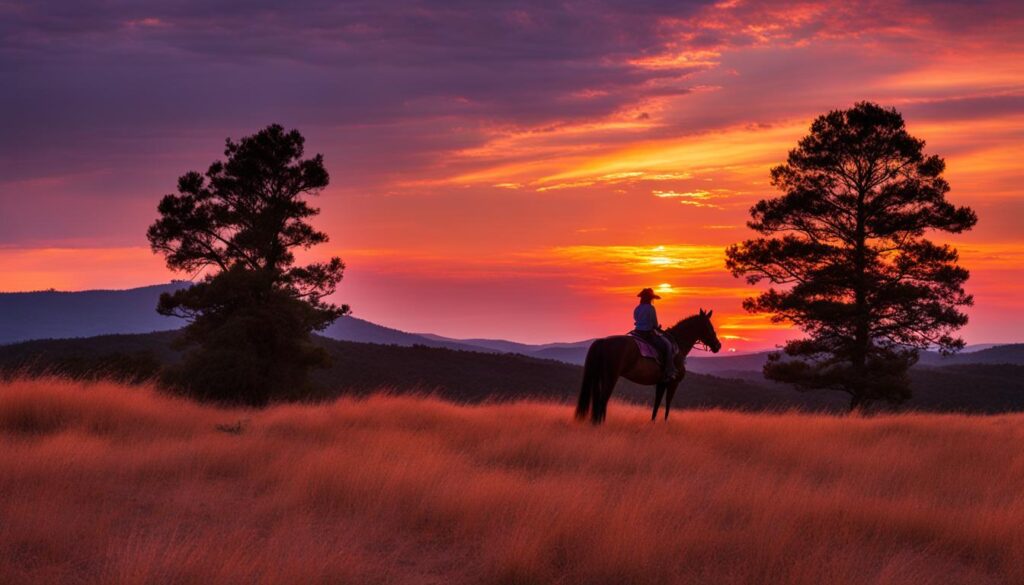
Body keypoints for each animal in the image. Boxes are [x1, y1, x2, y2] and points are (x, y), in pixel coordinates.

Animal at [573, 311, 724, 426]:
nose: (718, 345)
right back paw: (600, 423)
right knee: (603, 399)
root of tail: (603, 341)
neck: (678, 345)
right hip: (611, 377)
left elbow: (656, 404)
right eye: (709, 326)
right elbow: (668, 404)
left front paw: (653, 423)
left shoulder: (661, 383)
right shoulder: (673, 383)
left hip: (601, 377)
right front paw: (665, 424)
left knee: (599, 399)